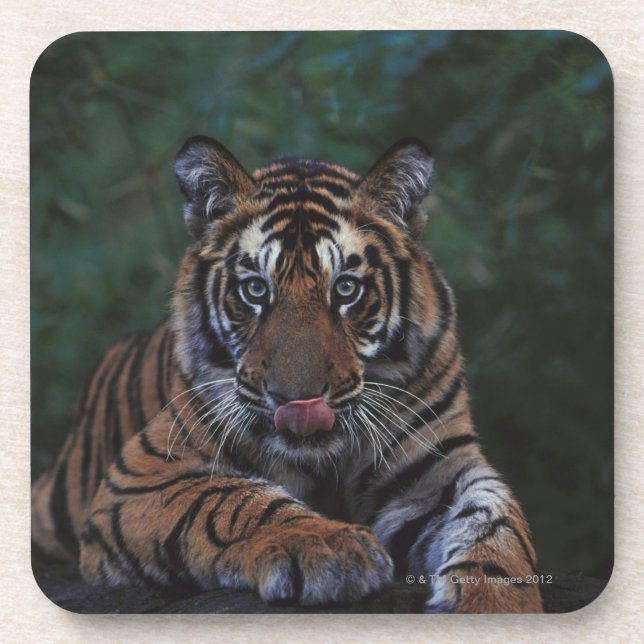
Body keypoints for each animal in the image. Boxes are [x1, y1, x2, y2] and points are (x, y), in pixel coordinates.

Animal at [32, 135, 543, 613]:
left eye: (346, 289)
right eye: (256, 290)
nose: (298, 401)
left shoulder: (435, 470)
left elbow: (495, 519)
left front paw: (498, 603)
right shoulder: (144, 473)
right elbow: (230, 499)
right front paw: (327, 547)